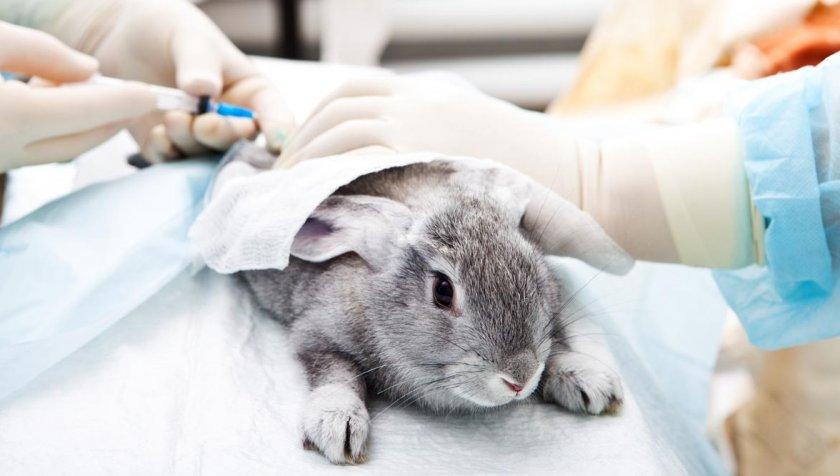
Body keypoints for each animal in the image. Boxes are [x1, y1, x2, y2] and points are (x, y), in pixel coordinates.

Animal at [240, 159, 629, 465]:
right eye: (443, 291)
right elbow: (336, 372)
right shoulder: (317, 333)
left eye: (532, 266)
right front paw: (337, 424)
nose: (519, 379)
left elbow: (556, 344)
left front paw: (589, 380)